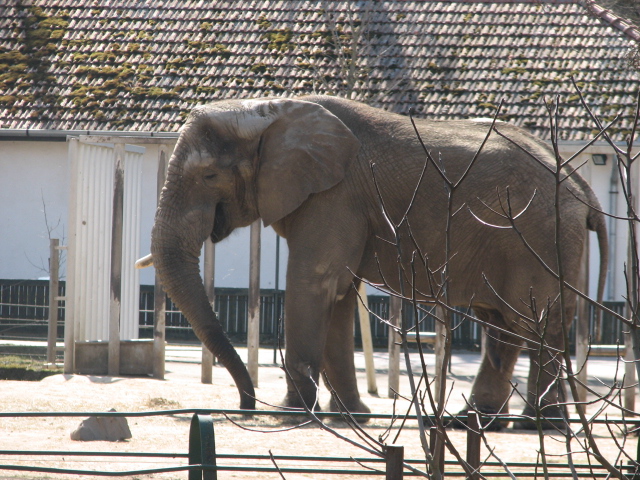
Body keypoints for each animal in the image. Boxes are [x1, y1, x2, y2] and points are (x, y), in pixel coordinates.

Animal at [139, 95, 607, 429]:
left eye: (208, 176)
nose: (244, 407)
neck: (265, 112)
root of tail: (580, 184)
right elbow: (339, 295)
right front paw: (352, 417)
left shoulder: (335, 197)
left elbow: (314, 283)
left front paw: (291, 415)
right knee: (504, 325)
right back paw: (473, 423)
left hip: (540, 235)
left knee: (534, 321)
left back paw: (539, 426)